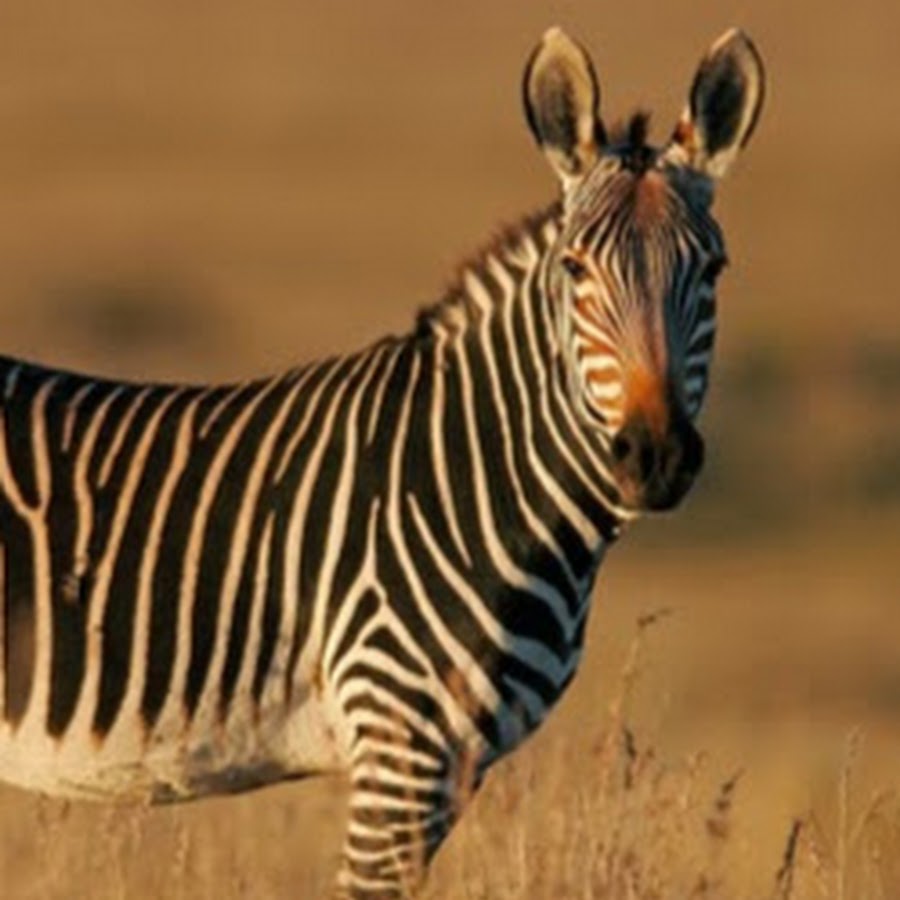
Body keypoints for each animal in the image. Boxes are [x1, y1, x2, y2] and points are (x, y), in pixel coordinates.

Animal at [0, 26, 764, 899]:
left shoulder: (449, 760)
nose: (656, 456)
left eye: (713, 270)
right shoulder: (400, 739)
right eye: (574, 269)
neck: (476, 473)